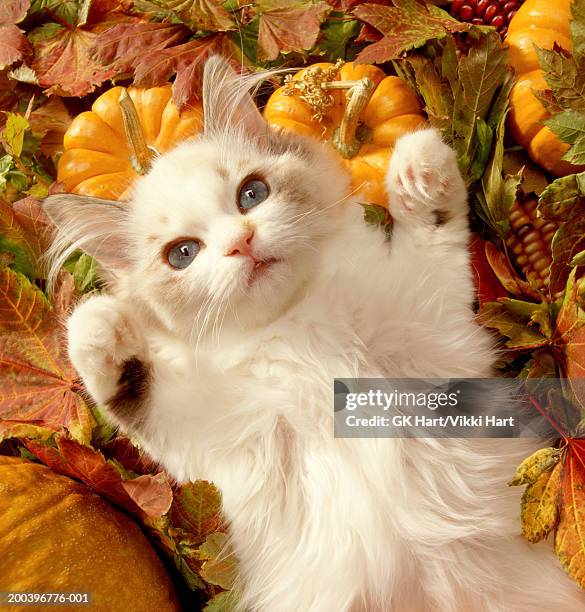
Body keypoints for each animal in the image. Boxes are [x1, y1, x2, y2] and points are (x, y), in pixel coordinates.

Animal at [43, 58, 580, 612]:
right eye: (183, 254)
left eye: (252, 193)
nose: (241, 243)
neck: (301, 327)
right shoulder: (216, 440)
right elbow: (136, 394)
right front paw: (95, 326)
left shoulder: (435, 333)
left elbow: (432, 237)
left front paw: (418, 168)